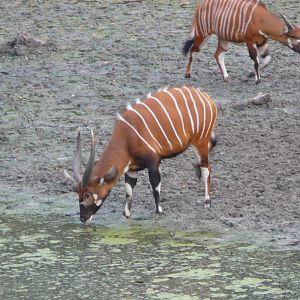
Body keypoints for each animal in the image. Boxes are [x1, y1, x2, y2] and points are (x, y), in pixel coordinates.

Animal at [73, 86, 218, 223]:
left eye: (87, 194)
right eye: (78, 192)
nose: (83, 218)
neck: (127, 138)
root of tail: (207, 98)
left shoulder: (154, 161)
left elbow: (155, 187)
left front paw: (159, 211)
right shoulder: (131, 169)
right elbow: (129, 191)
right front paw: (126, 215)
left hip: (200, 142)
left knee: (207, 168)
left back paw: (207, 202)